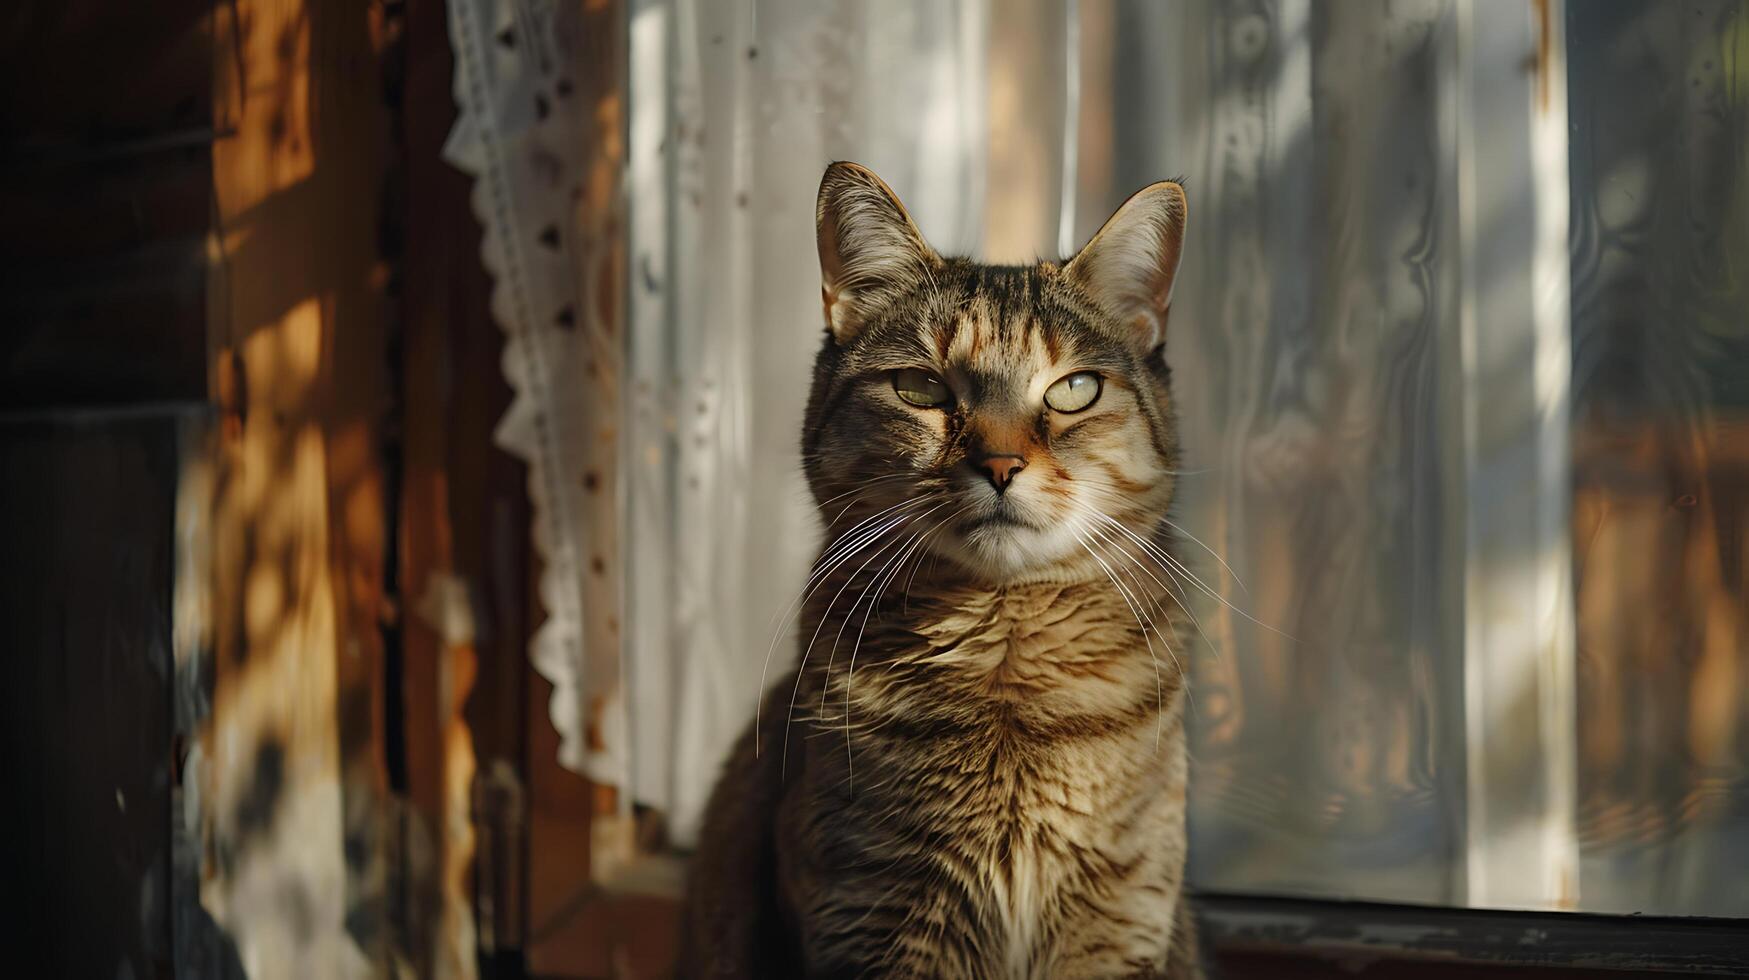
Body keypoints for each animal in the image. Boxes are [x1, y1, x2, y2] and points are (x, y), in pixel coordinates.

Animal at [678, 162, 1203, 980]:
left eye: (1074, 390)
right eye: (920, 389)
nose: (1000, 464)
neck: (1005, 669)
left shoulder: (1119, 922)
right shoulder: (876, 913)